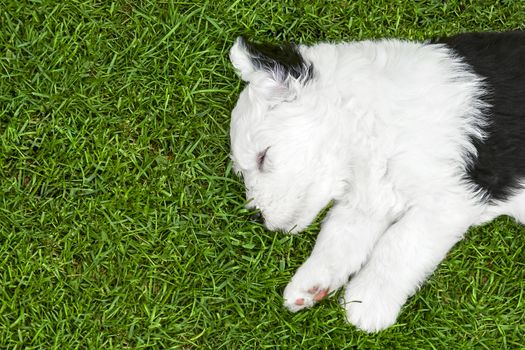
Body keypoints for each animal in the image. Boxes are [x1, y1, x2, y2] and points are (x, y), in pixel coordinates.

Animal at [227, 31, 520, 332]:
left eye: (263, 157)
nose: (258, 217)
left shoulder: (451, 198)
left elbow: (399, 242)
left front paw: (366, 302)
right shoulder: (372, 196)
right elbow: (339, 236)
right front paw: (311, 285)